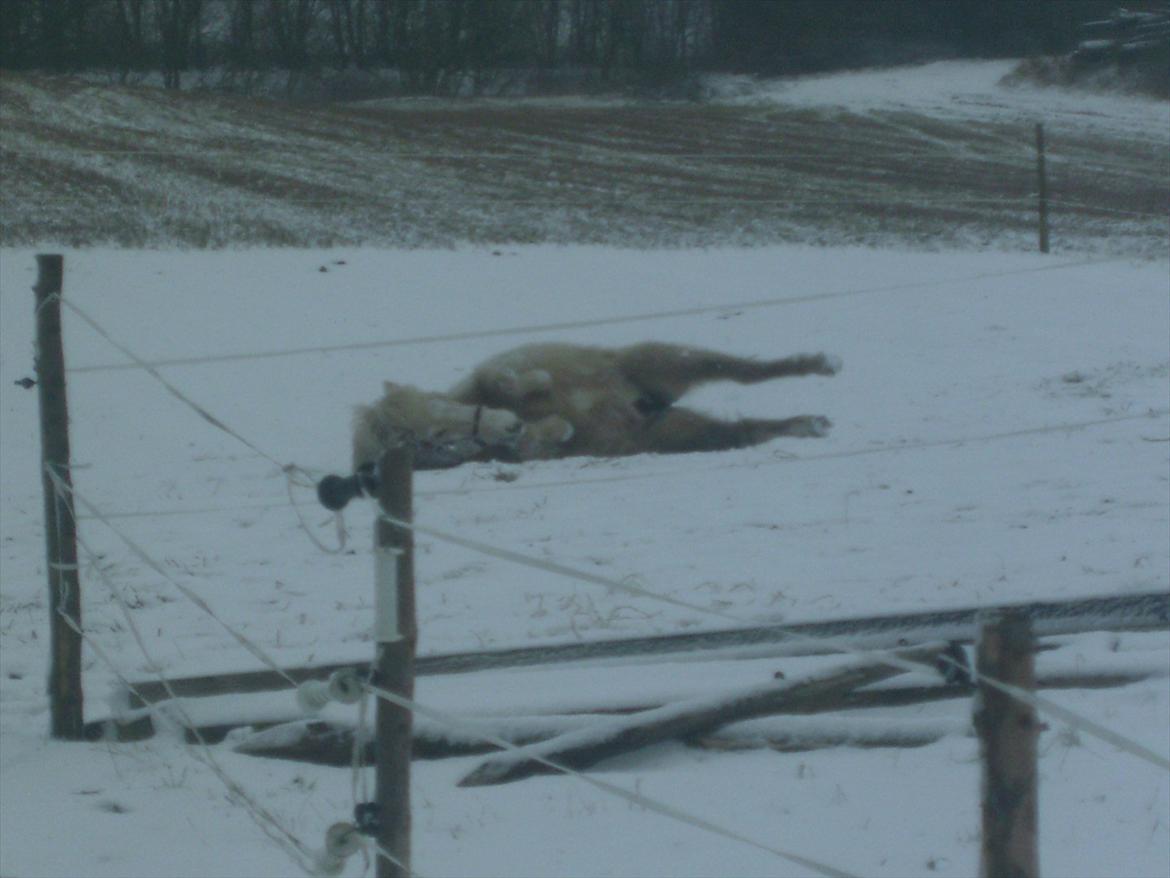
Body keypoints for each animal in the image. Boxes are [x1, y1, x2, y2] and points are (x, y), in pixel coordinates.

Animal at [348, 339, 842, 470]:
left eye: (436, 408)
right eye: (432, 440)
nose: (507, 426)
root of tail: (646, 406)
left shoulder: (499, 370)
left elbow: (505, 377)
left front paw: (532, 386)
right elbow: (541, 439)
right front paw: (554, 429)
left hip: (659, 360)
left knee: (742, 370)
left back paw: (821, 364)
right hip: (677, 435)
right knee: (745, 430)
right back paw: (810, 424)